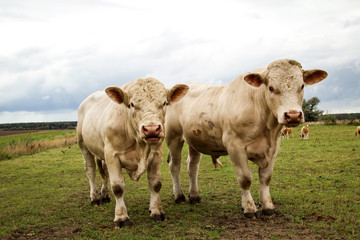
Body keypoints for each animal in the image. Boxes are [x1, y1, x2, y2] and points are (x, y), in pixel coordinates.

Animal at [76, 78, 188, 228]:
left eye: (164, 102)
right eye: (132, 104)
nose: (151, 129)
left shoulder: (157, 154)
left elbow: (155, 183)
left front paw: (156, 211)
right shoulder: (112, 155)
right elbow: (118, 186)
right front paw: (121, 217)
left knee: (104, 173)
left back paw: (104, 195)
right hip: (84, 145)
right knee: (90, 170)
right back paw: (95, 198)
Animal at [165, 59, 328, 218]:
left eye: (302, 86)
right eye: (271, 88)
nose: (293, 115)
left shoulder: (274, 147)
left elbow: (265, 178)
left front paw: (267, 206)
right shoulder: (235, 146)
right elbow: (245, 178)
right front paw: (249, 207)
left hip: (194, 141)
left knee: (192, 166)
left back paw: (194, 195)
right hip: (173, 137)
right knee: (175, 165)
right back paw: (179, 196)